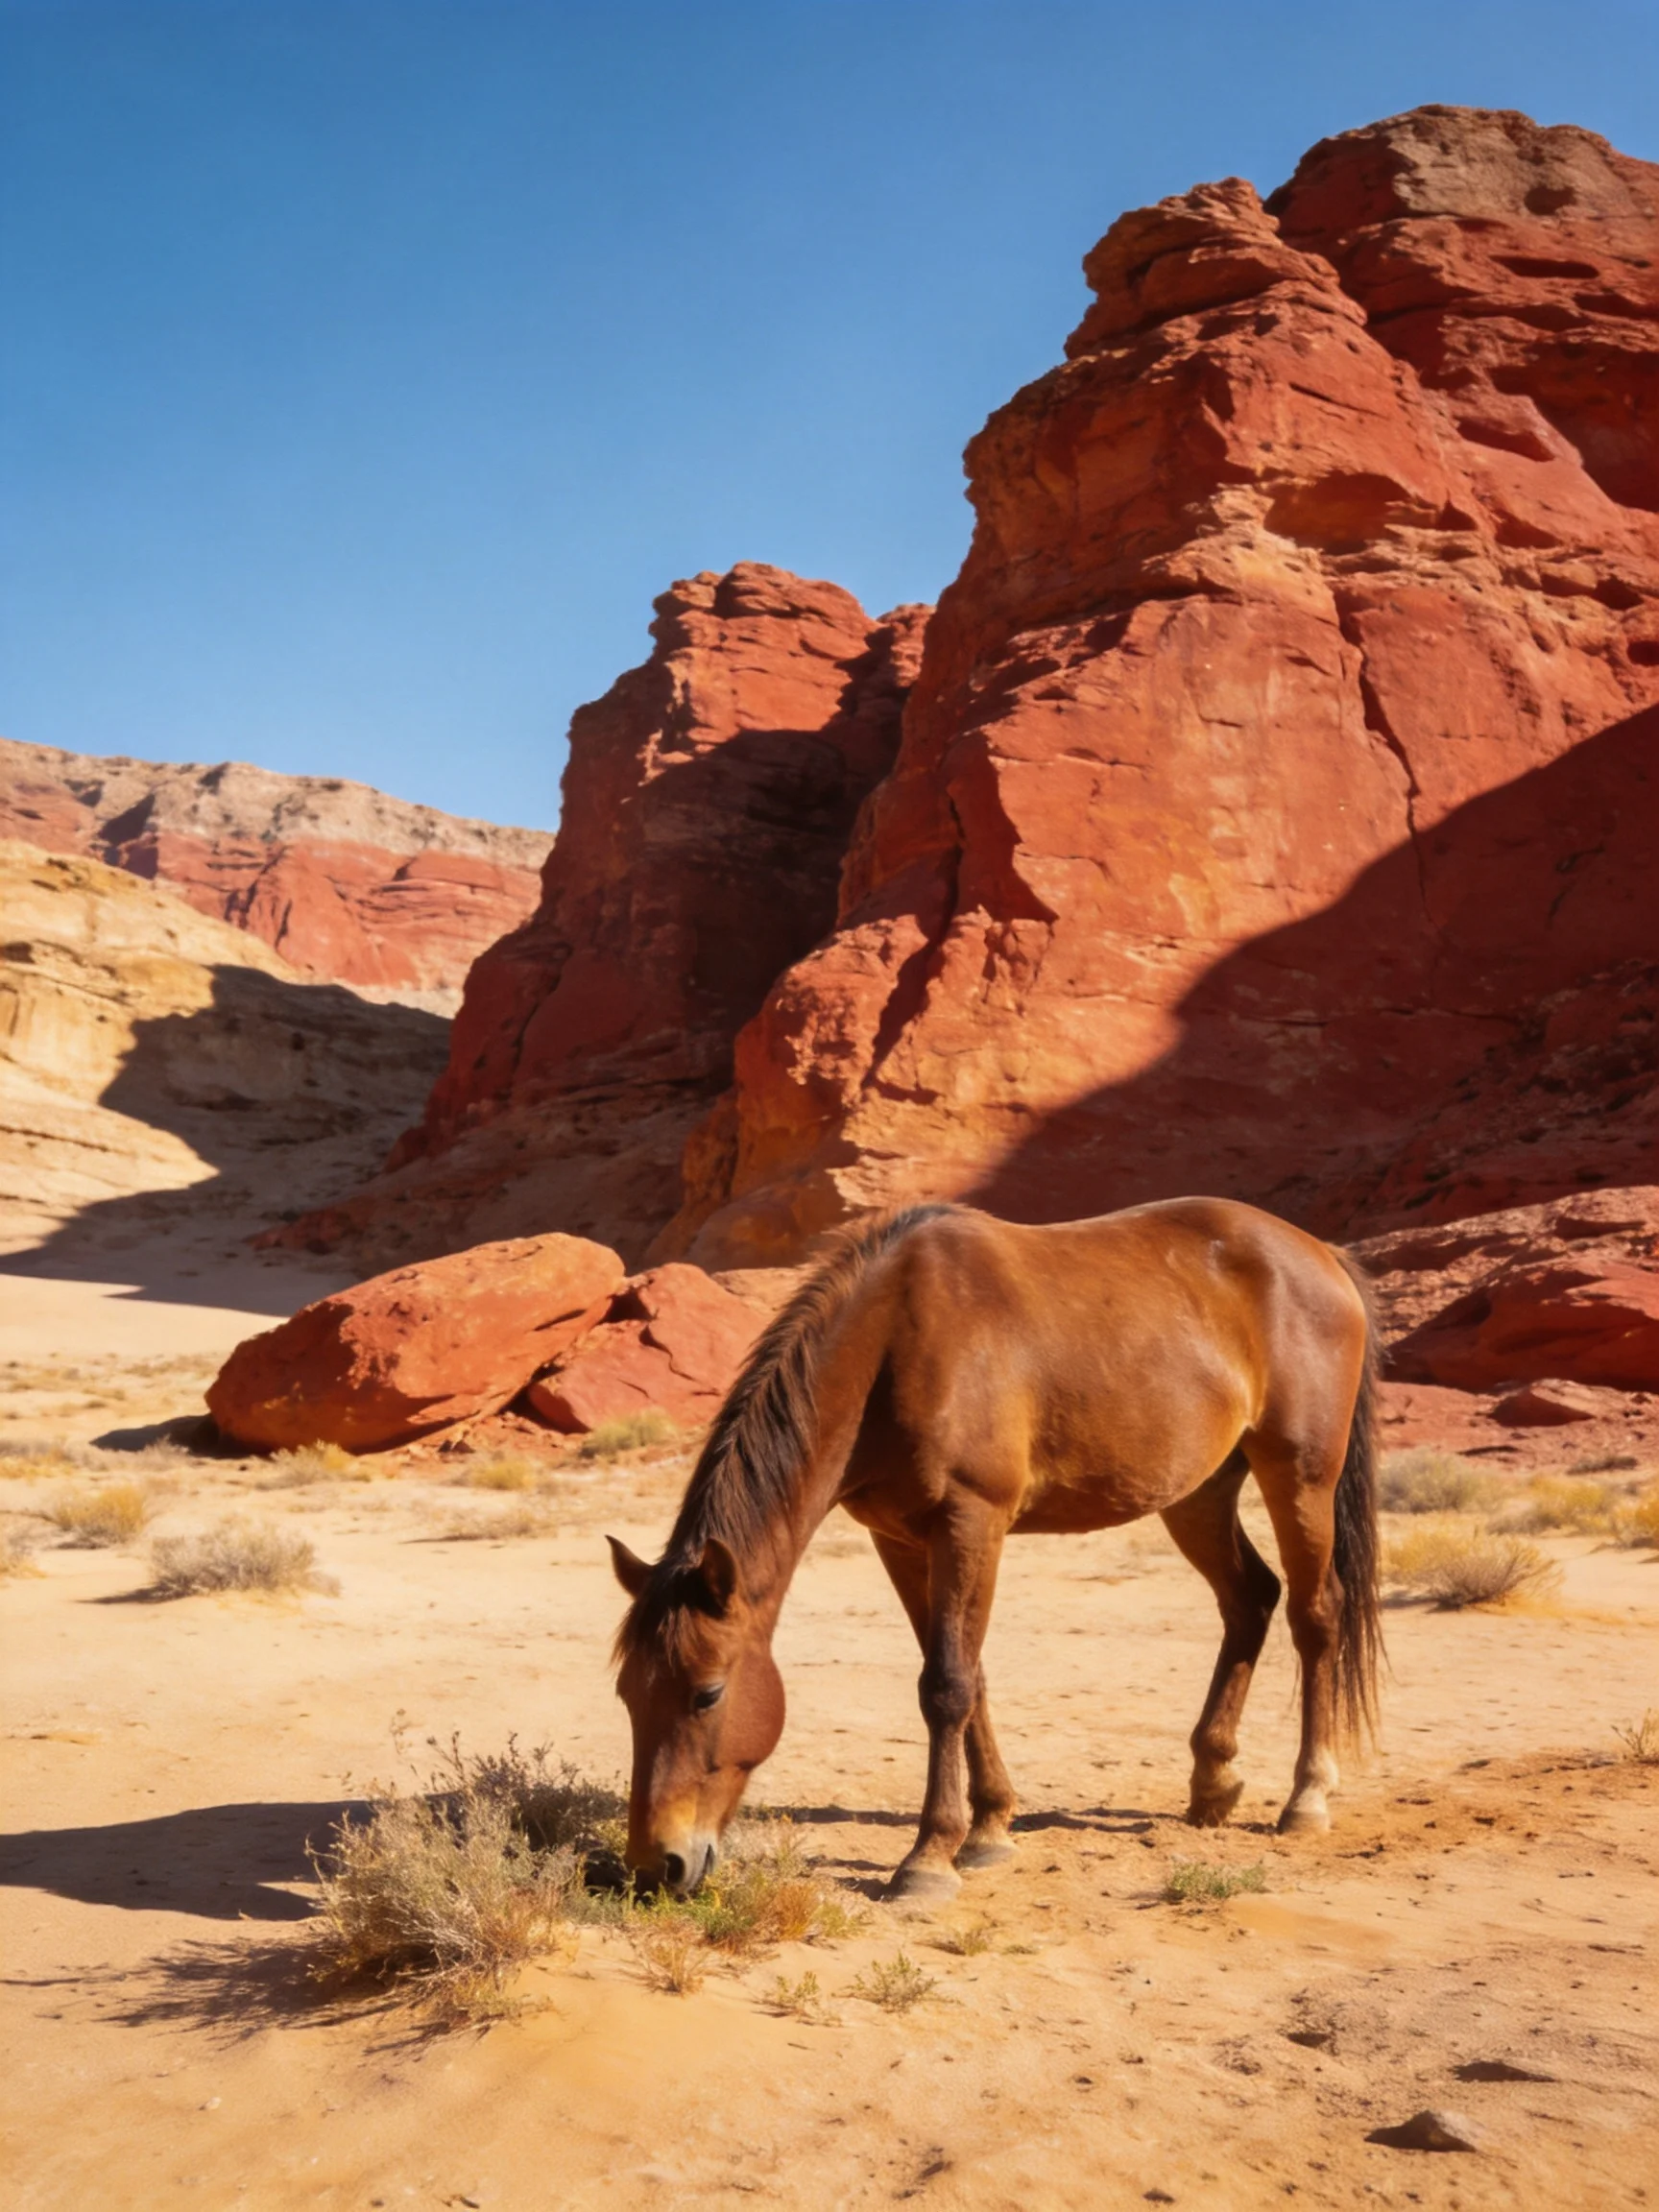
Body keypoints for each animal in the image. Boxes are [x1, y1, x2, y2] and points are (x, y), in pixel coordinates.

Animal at [609, 1196, 1380, 1900]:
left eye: (707, 1693)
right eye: (626, 1693)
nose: (657, 1867)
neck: (893, 1345)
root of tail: (1321, 1255)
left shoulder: (969, 1521)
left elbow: (946, 1684)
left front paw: (927, 1859)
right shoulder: (900, 1538)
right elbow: (966, 1674)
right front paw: (988, 1829)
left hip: (1300, 1475)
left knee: (1315, 1614)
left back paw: (1307, 1796)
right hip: (1198, 1495)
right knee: (1250, 1599)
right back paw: (1213, 1780)